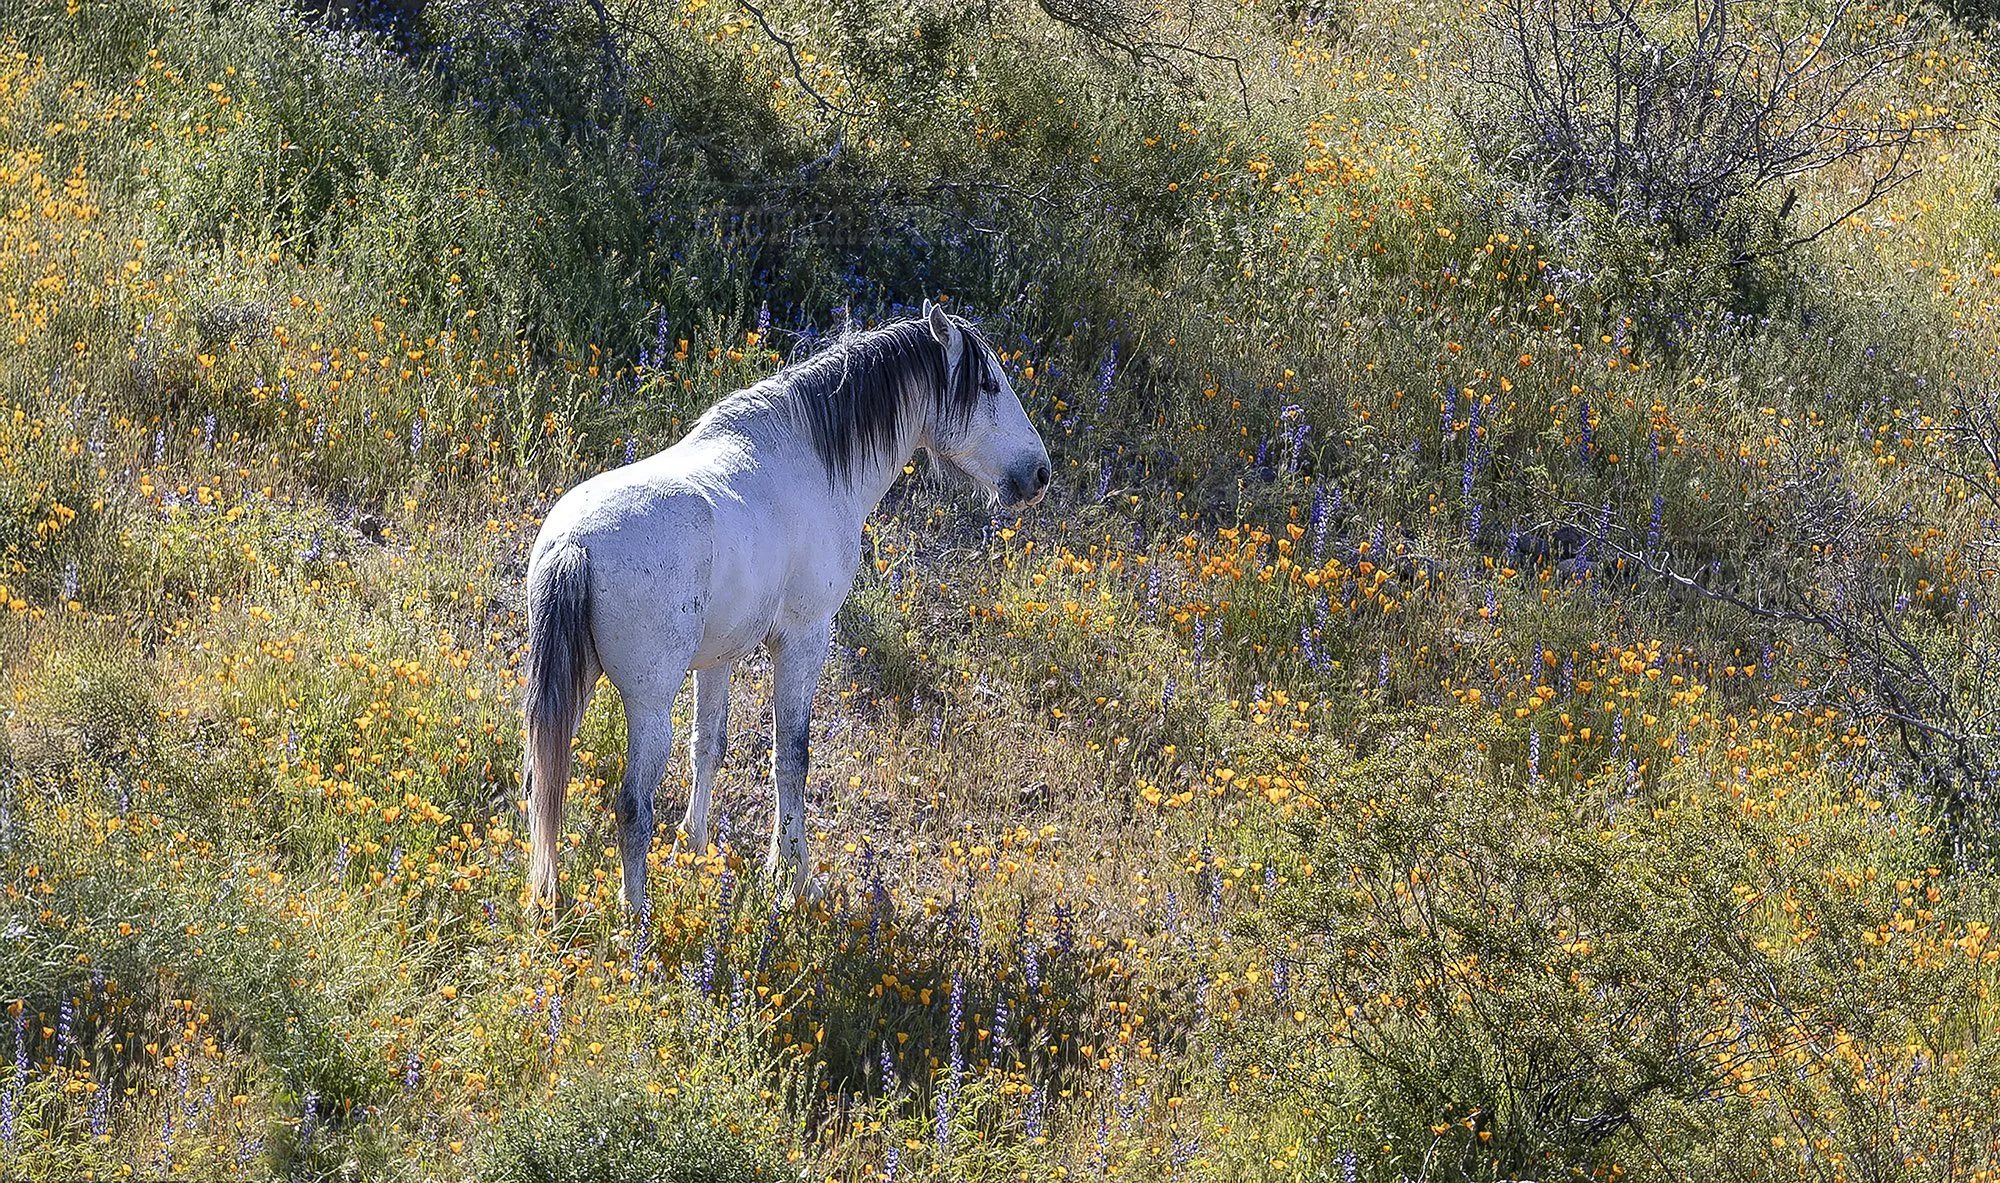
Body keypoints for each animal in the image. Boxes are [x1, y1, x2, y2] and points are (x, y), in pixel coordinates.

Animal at [522, 302, 1051, 916]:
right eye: (987, 385)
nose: (1039, 474)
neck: (813, 460)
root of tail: (574, 543)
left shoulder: (718, 660)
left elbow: (709, 747)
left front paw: (694, 848)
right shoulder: (804, 639)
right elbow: (792, 758)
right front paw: (794, 875)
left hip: (574, 685)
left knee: (542, 782)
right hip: (649, 701)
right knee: (631, 806)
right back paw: (638, 923)